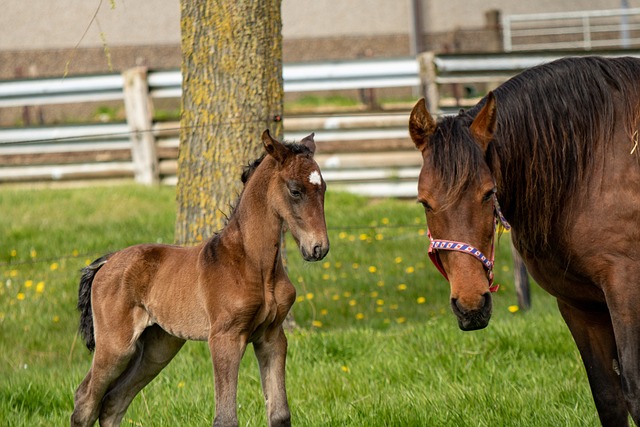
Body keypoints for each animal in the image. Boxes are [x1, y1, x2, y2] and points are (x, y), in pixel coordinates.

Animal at [70, 130, 330, 427]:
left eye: (323, 188)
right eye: (295, 190)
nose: (319, 248)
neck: (253, 264)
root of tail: (107, 261)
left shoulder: (272, 337)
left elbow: (279, 414)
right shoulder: (225, 338)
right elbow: (226, 418)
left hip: (159, 347)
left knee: (114, 401)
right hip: (116, 346)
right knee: (85, 400)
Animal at [408, 55, 640, 426]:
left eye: (488, 193)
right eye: (424, 202)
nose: (471, 306)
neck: (592, 166)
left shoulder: (626, 290)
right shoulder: (579, 304)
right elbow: (608, 397)